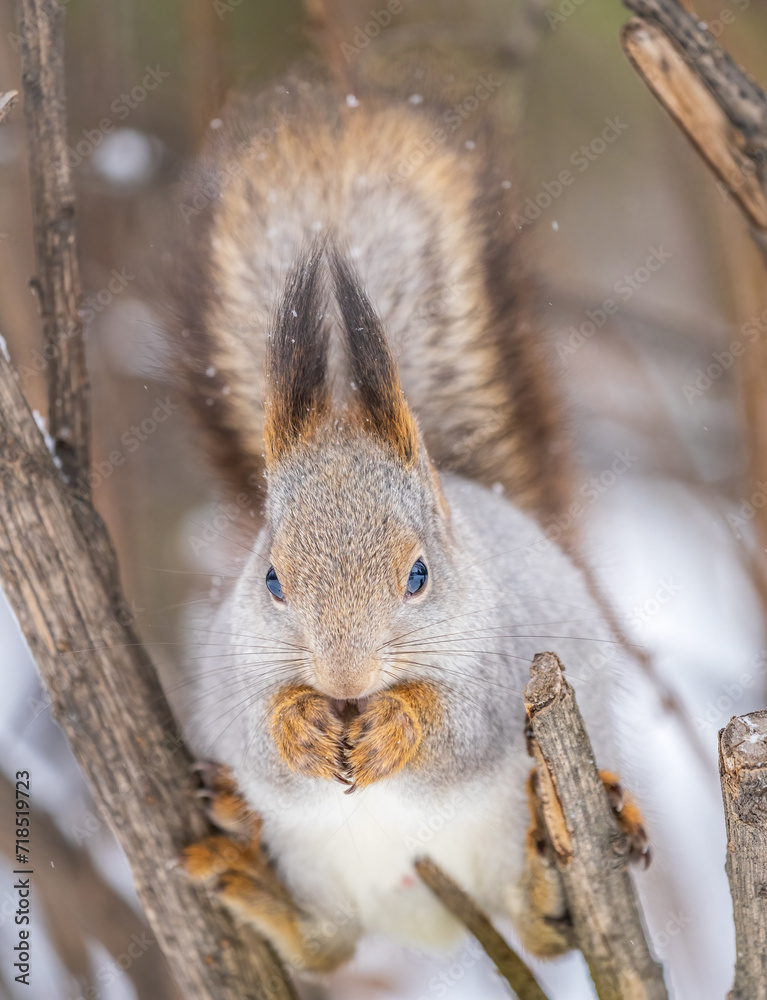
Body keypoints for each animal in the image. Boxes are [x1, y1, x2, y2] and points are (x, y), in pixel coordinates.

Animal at [168, 55, 648, 974]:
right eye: (271, 579)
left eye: (419, 575)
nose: (345, 680)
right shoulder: (231, 663)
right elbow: (256, 729)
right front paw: (299, 726)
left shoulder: (504, 662)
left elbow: (459, 726)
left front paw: (397, 724)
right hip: (313, 861)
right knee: (325, 947)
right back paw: (246, 871)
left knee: (543, 932)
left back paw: (549, 872)